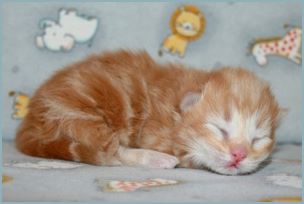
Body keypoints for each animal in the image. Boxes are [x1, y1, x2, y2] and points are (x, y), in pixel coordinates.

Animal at [16, 50, 282, 175]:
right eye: (219, 129)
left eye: (258, 139)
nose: (239, 154)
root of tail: (29, 123)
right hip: (79, 114)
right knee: (108, 151)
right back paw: (156, 159)